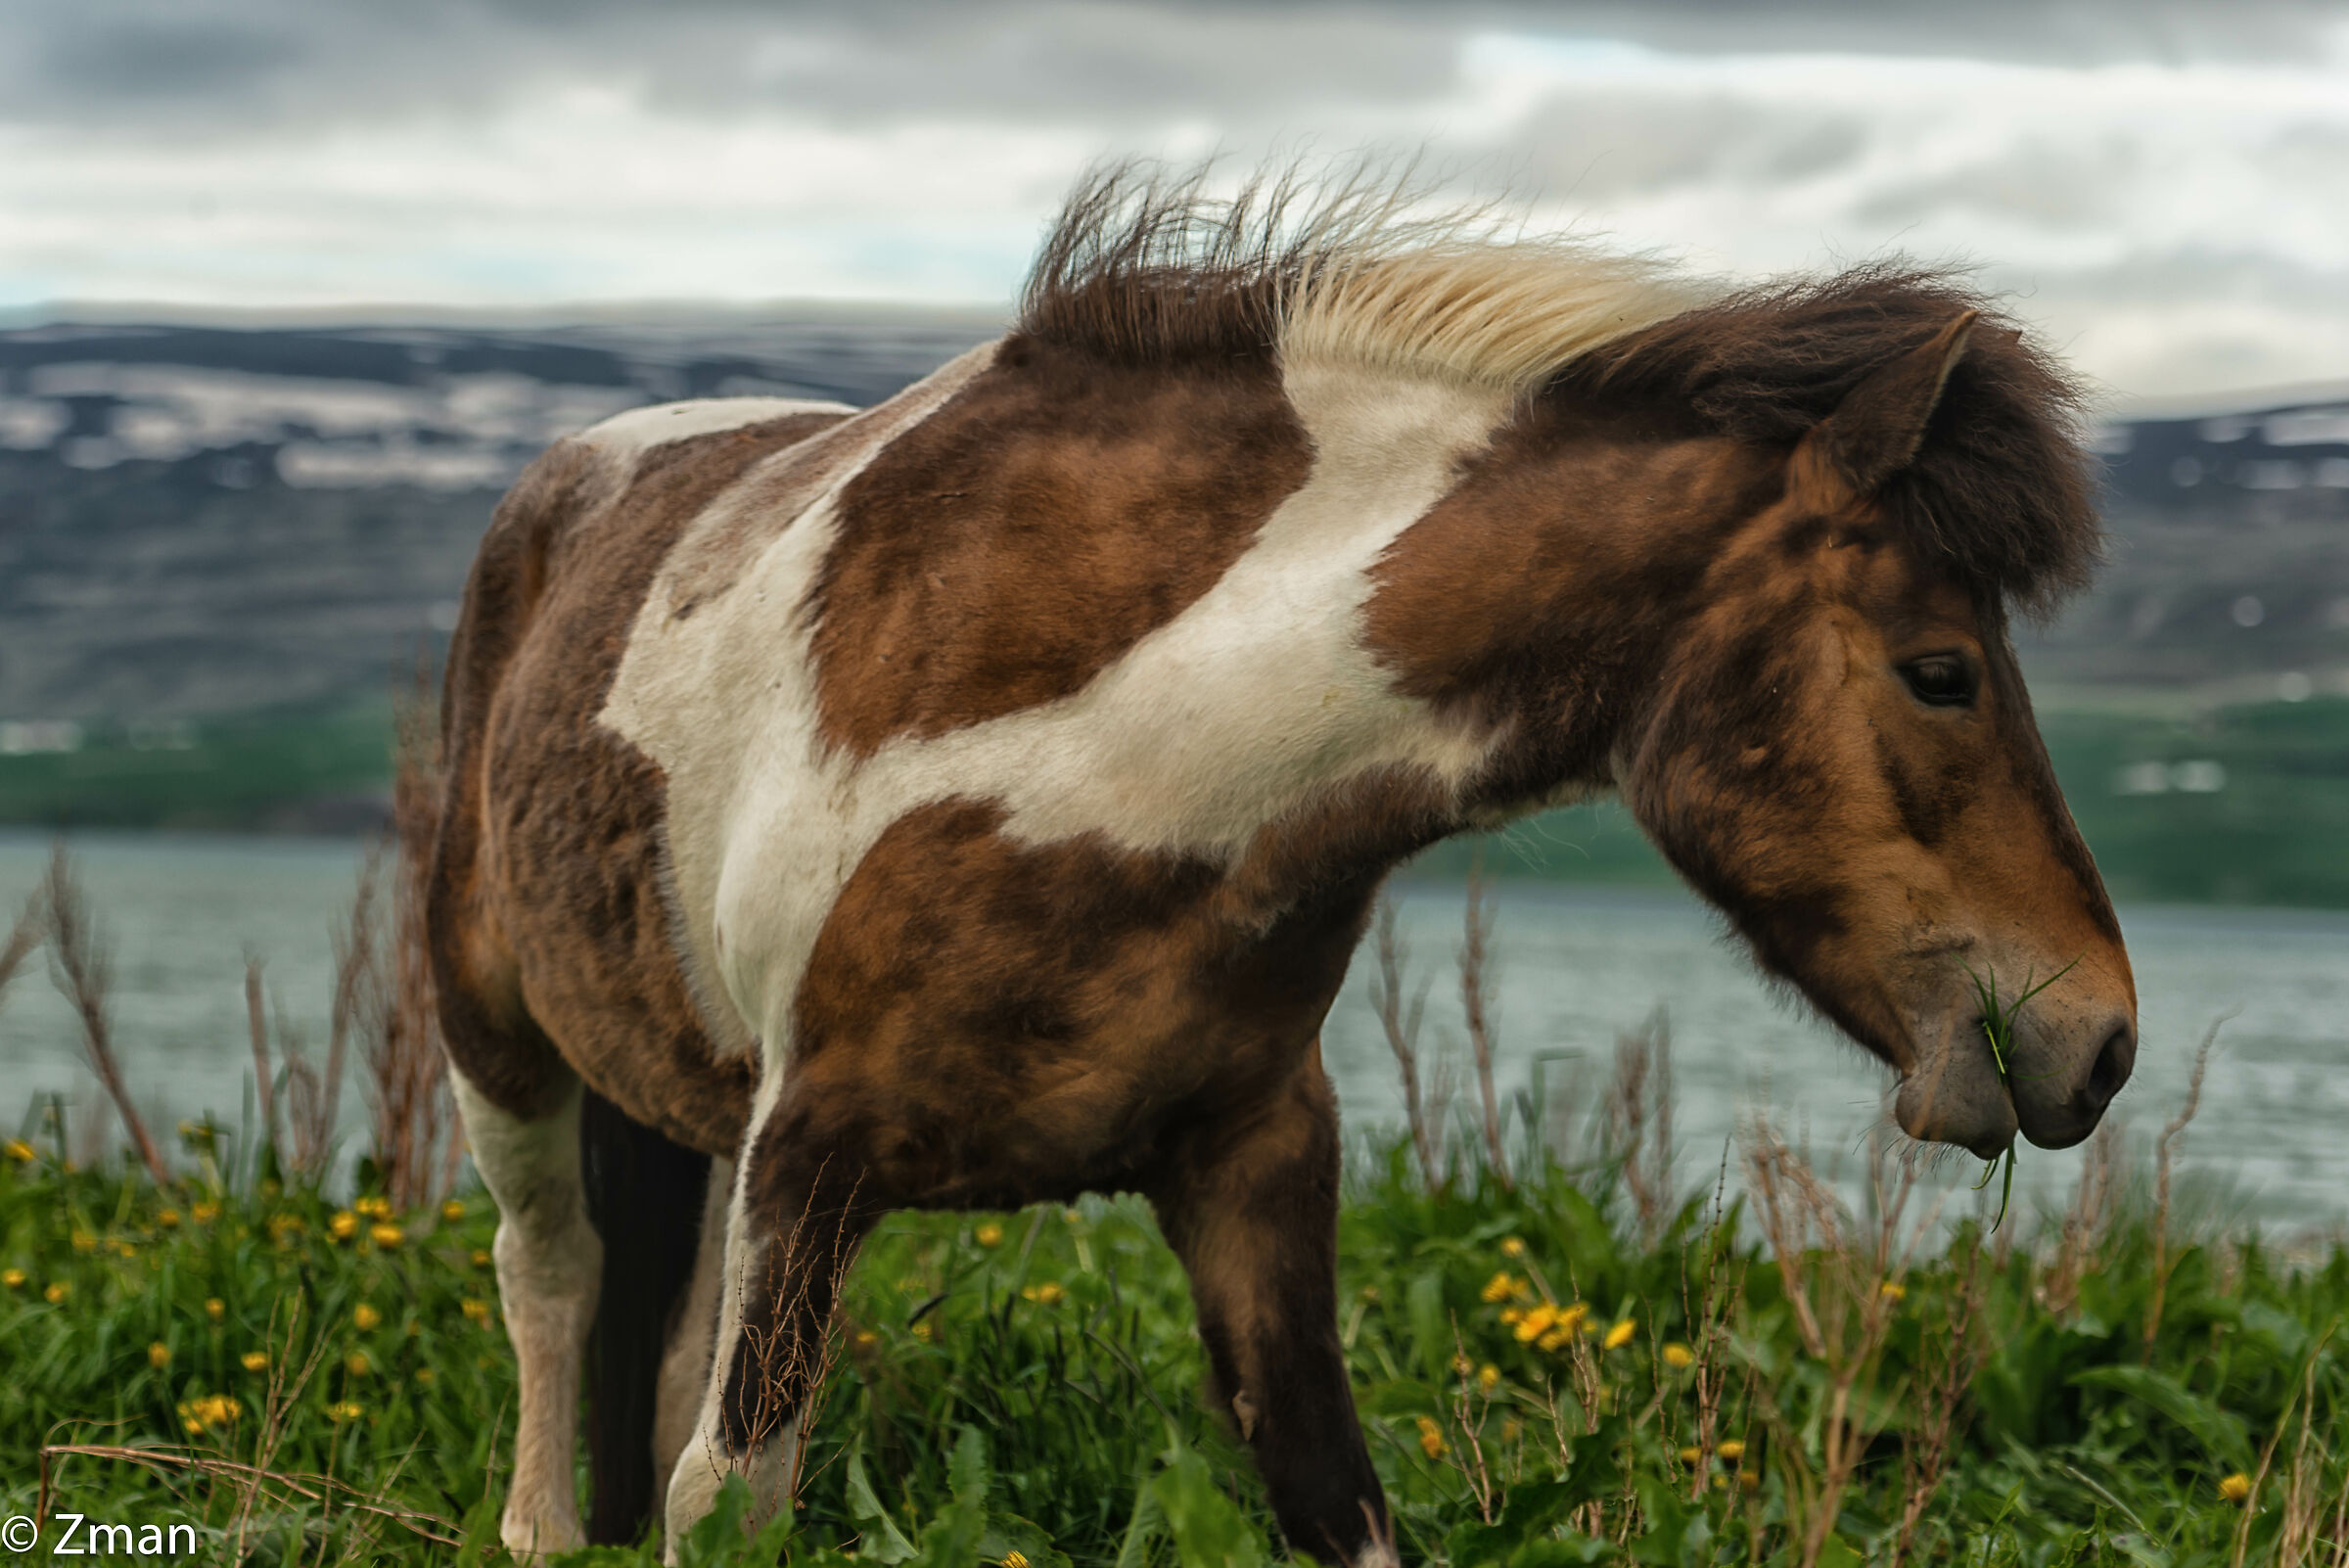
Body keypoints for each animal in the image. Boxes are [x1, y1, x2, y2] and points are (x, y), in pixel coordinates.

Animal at [427, 166, 2137, 1564]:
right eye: (1939, 671)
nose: (2100, 1039)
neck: (1128, 767)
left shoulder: (1253, 1160)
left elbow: (1335, 1498)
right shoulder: (816, 1150)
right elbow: (728, 1492)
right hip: (498, 1043)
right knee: (550, 1276)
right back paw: (538, 1519)